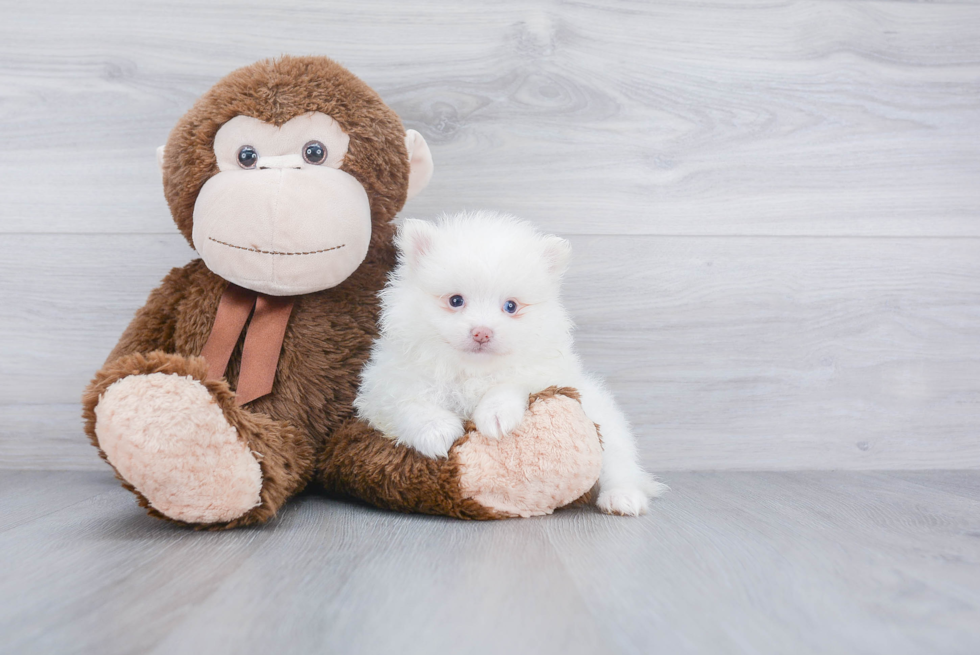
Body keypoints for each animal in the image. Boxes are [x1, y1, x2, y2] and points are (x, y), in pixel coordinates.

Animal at [352, 213, 668, 516]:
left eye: (511, 306)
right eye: (456, 301)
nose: (482, 332)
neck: (470, 371)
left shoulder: (544, 375)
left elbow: (509, 385)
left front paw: (495, 415)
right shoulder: (385, 388)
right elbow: (410, 404)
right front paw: (437, 431)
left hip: (609, 430)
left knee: (620, 467)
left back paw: (622, 498)